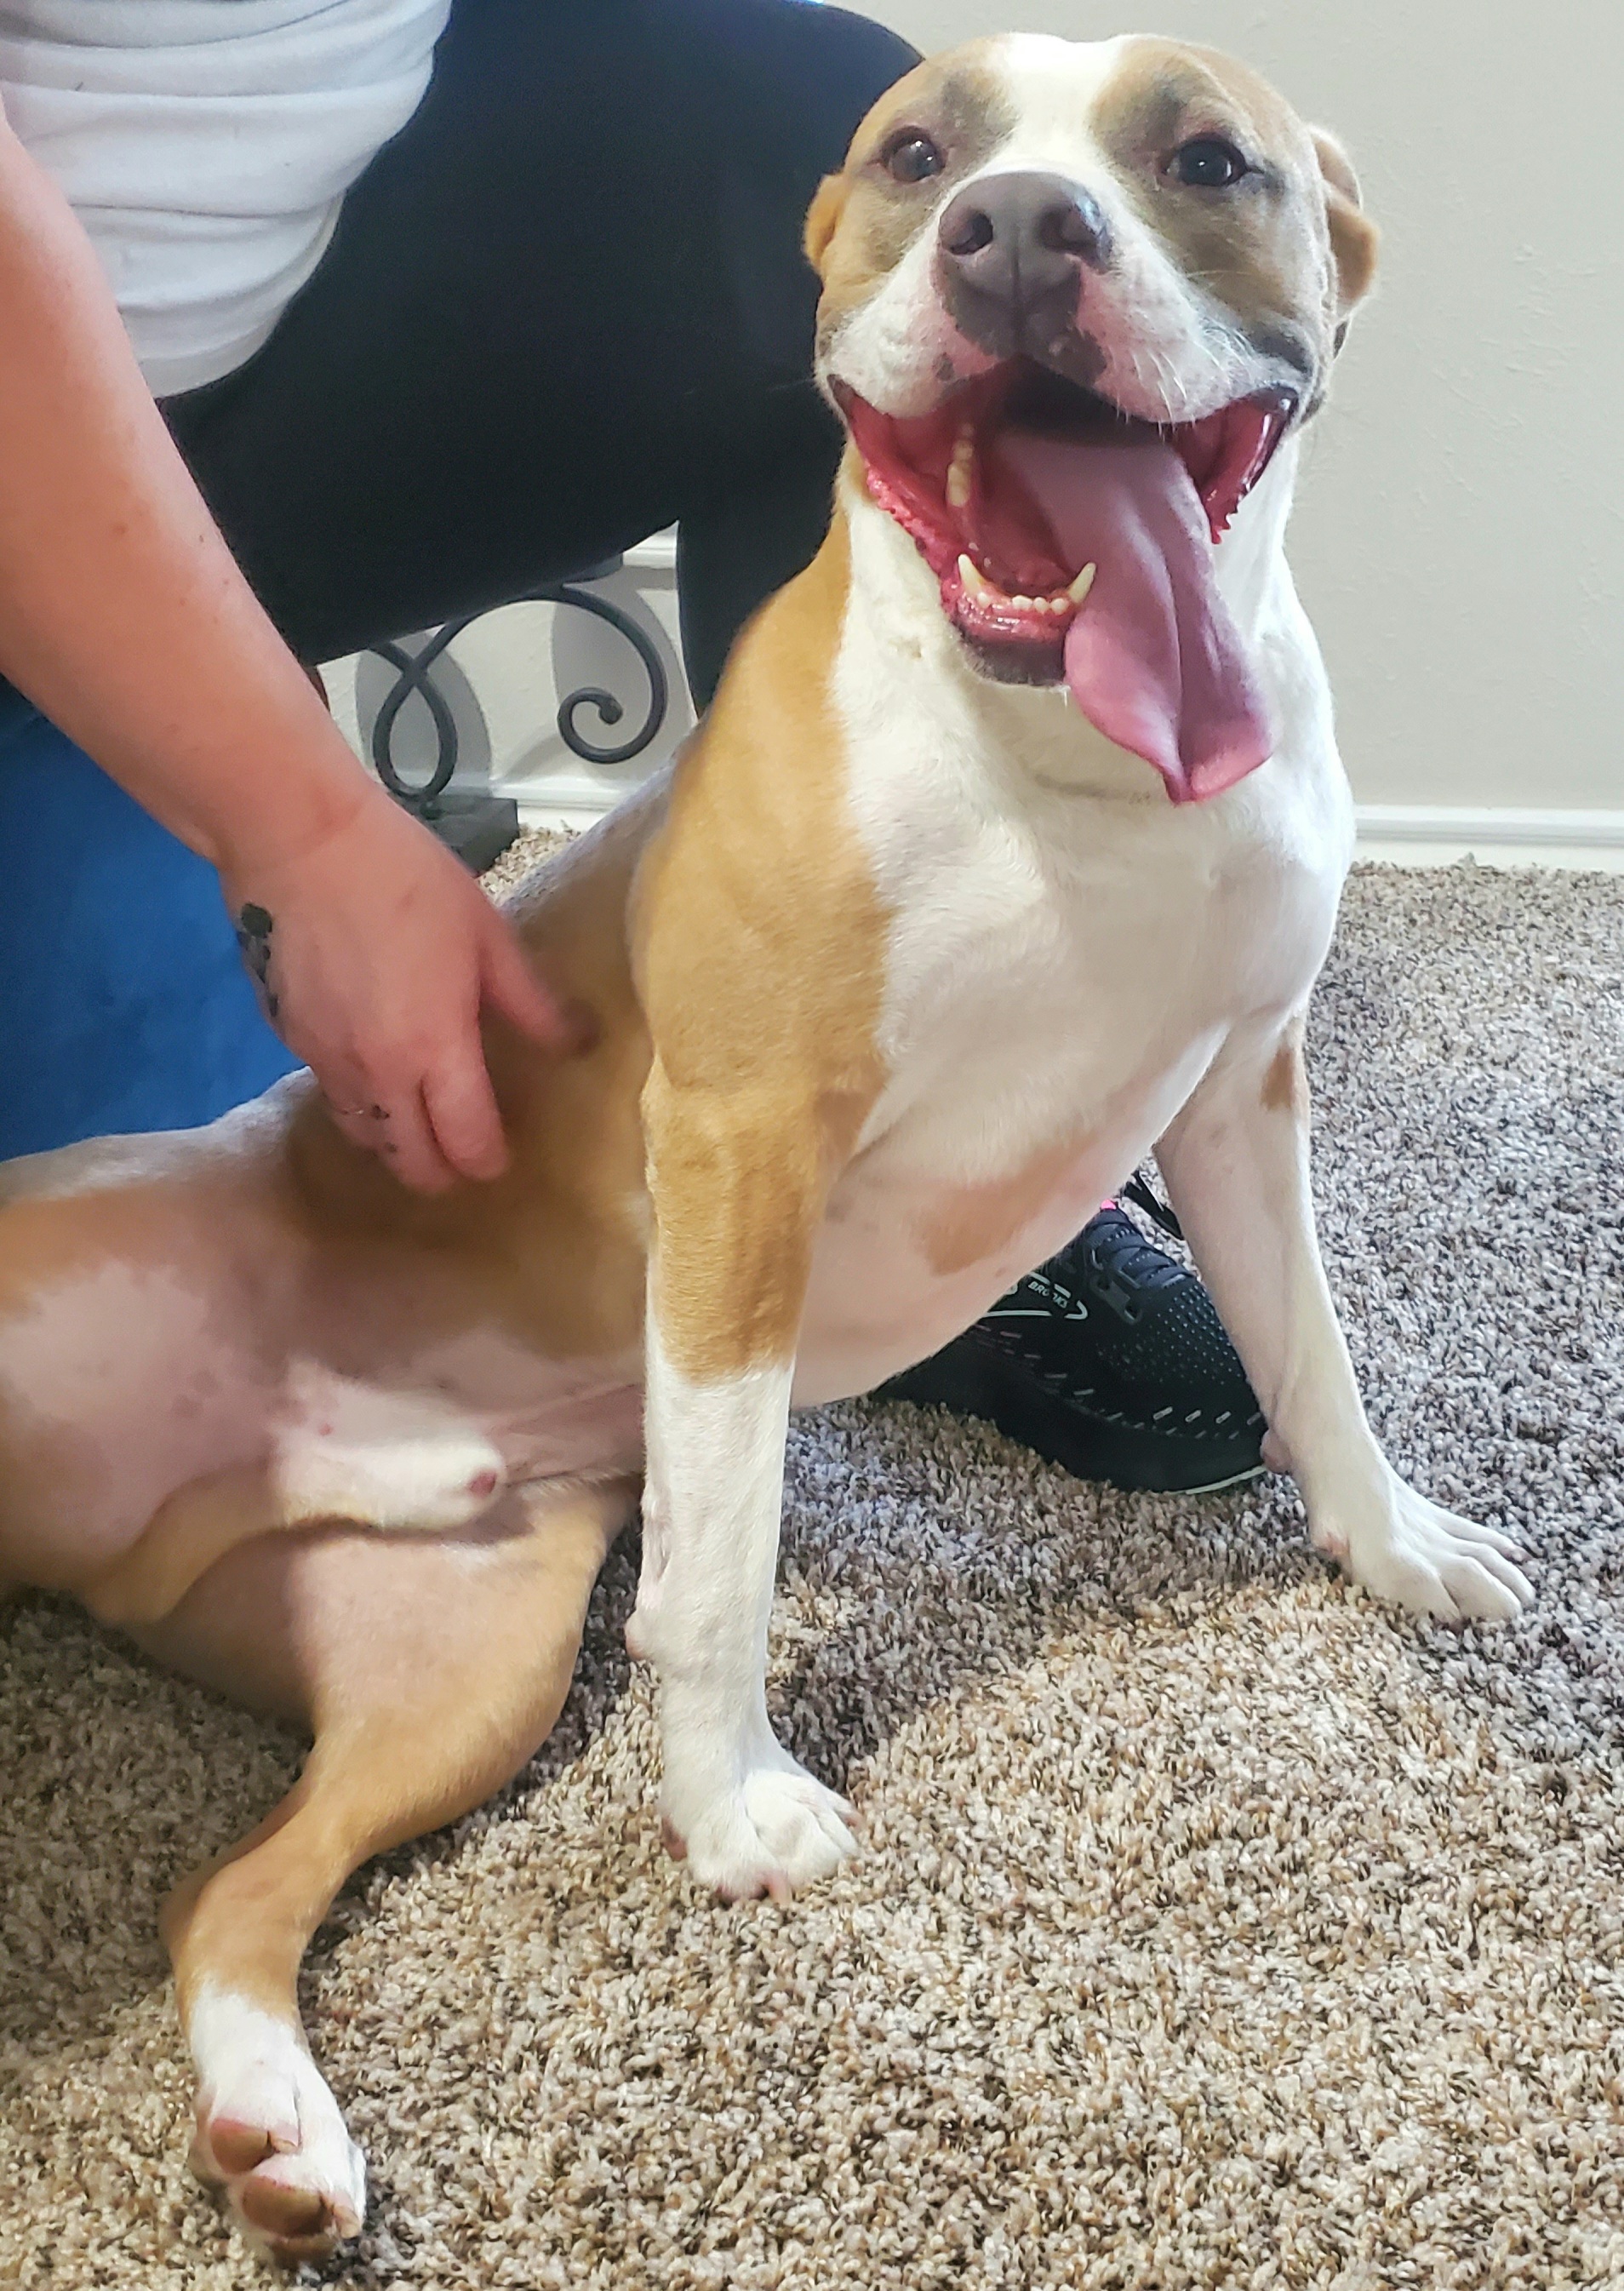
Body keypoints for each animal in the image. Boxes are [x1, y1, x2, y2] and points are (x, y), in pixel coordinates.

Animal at [0, 36, 1530, 2272]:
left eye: (1205, 159)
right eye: (918, 152)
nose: (1016, 229)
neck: (1062, 771)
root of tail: (133, 1527)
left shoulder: (1243, 1087)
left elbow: (1312, 1354)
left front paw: (1392, 1538)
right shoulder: (739, 1152)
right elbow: (721, 1548)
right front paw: (731, 1803)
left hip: (458, 1677)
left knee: (228, 1893)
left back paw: (278, 2121)